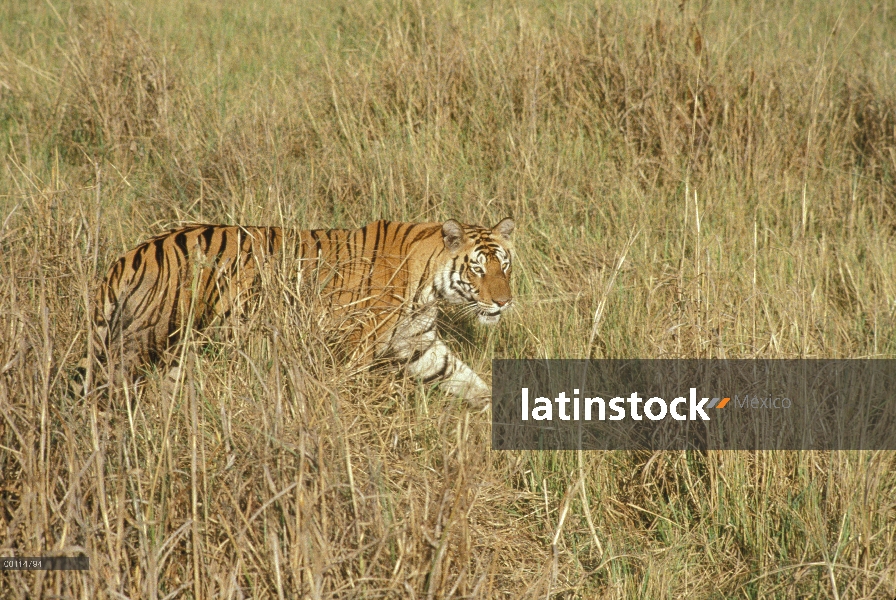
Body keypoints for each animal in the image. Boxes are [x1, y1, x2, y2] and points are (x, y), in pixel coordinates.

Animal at [80, 216, 516, 398]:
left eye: (504, 264)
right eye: (477, 269)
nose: (504, 301)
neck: (427, 287)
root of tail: (131, 255)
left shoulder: (419, 346)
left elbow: (466, 378)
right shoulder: (353, 347)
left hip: (178, 351)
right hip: (141, 341)